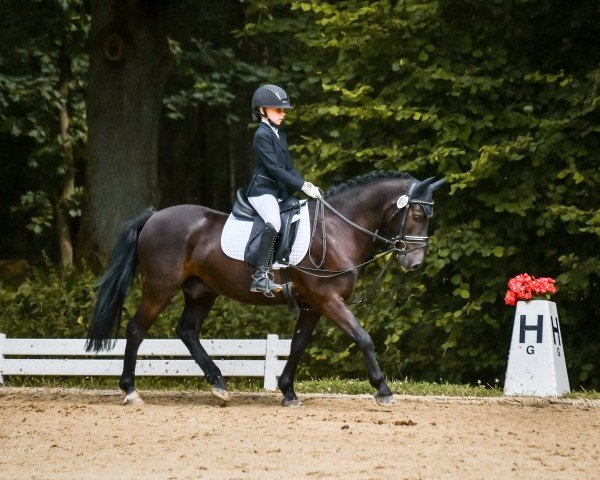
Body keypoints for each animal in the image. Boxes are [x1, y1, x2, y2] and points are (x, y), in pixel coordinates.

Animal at [86, 171, 446, 406]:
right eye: (417, 214)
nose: (414, 263)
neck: (338, 229)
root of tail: (154, 216)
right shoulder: (329, 300)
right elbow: (363, 338)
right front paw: (383, 390)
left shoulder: (314, 305)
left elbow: (298, 346)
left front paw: (288, 391)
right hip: (159, 288)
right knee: (136, 330)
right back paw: (130, 391)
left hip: (202, 291)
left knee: (187, 330)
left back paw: (218, 383)